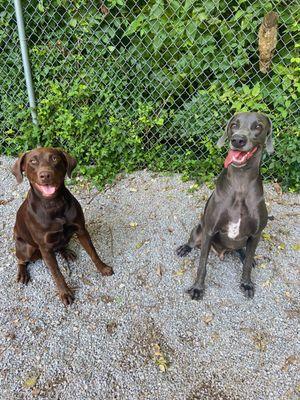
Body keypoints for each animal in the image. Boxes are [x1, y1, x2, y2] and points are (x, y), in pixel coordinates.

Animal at [177, 111, 274, 298]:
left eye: (258, 126)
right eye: (234, 124)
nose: (238, 140)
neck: (240, 183)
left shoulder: (256, 234)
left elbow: (247, 263)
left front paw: (246, 283)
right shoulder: (209, 230)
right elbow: (202, 264)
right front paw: (198, 288)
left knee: (243, 251)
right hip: (199, 229)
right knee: (193, 241)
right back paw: (185, 248)